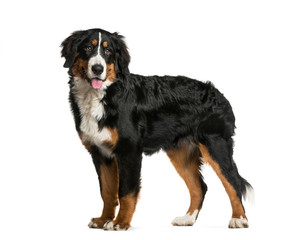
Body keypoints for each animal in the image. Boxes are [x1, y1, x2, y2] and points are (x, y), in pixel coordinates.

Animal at [60, 28, 253, 231]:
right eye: (88, 48)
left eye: (108, 51)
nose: (98, 69)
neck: (102, 95)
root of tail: (219, 94)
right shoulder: (101, 153)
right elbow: (107, 191)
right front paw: (103, 219)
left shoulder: (129, 150)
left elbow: (126, 191)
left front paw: (121, 222)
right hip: (181, 153)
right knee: (200, 186)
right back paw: (188, 218)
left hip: (215, 145)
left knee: (233, 182)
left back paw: (239, 218)